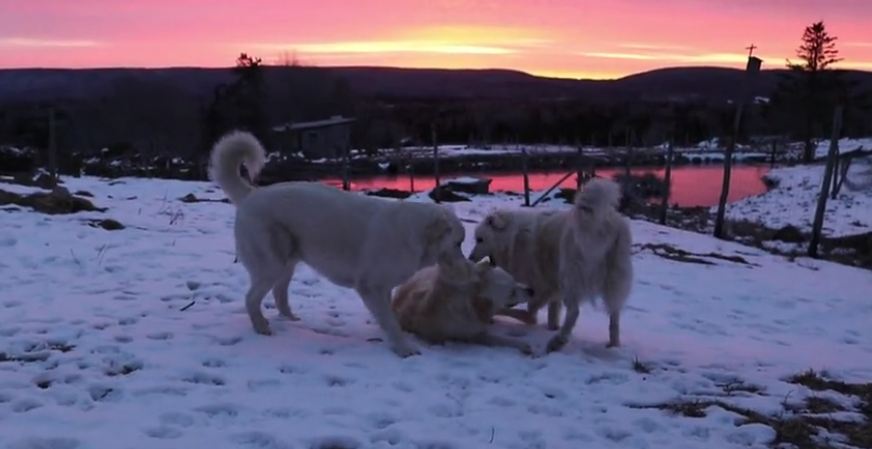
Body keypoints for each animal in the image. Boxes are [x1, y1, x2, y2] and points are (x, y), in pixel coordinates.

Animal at [208, 130, 466, 356]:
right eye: (458, 243)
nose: (468, 264)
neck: (413, 234)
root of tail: (251, 194)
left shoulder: (384, 288)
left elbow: (389, 316)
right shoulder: (371, 287)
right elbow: (390, 321)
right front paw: (404, 348)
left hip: (286, 263)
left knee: (279, 294)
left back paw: (291, 320)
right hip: (271, 265)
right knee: (252, 298)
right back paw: (261, 327)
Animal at [470, 178, 632, 350]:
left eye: (480, 239)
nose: (470, 257)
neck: (512, 237)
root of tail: (601, 223)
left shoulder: (542, 285)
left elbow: (532, 311)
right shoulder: (553, 285)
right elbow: (552, 311)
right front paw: (552, 327)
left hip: (571, 276)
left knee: (574, 311)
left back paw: (559, 340)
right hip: (613, 281)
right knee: (614, 314)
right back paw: (613, 344)